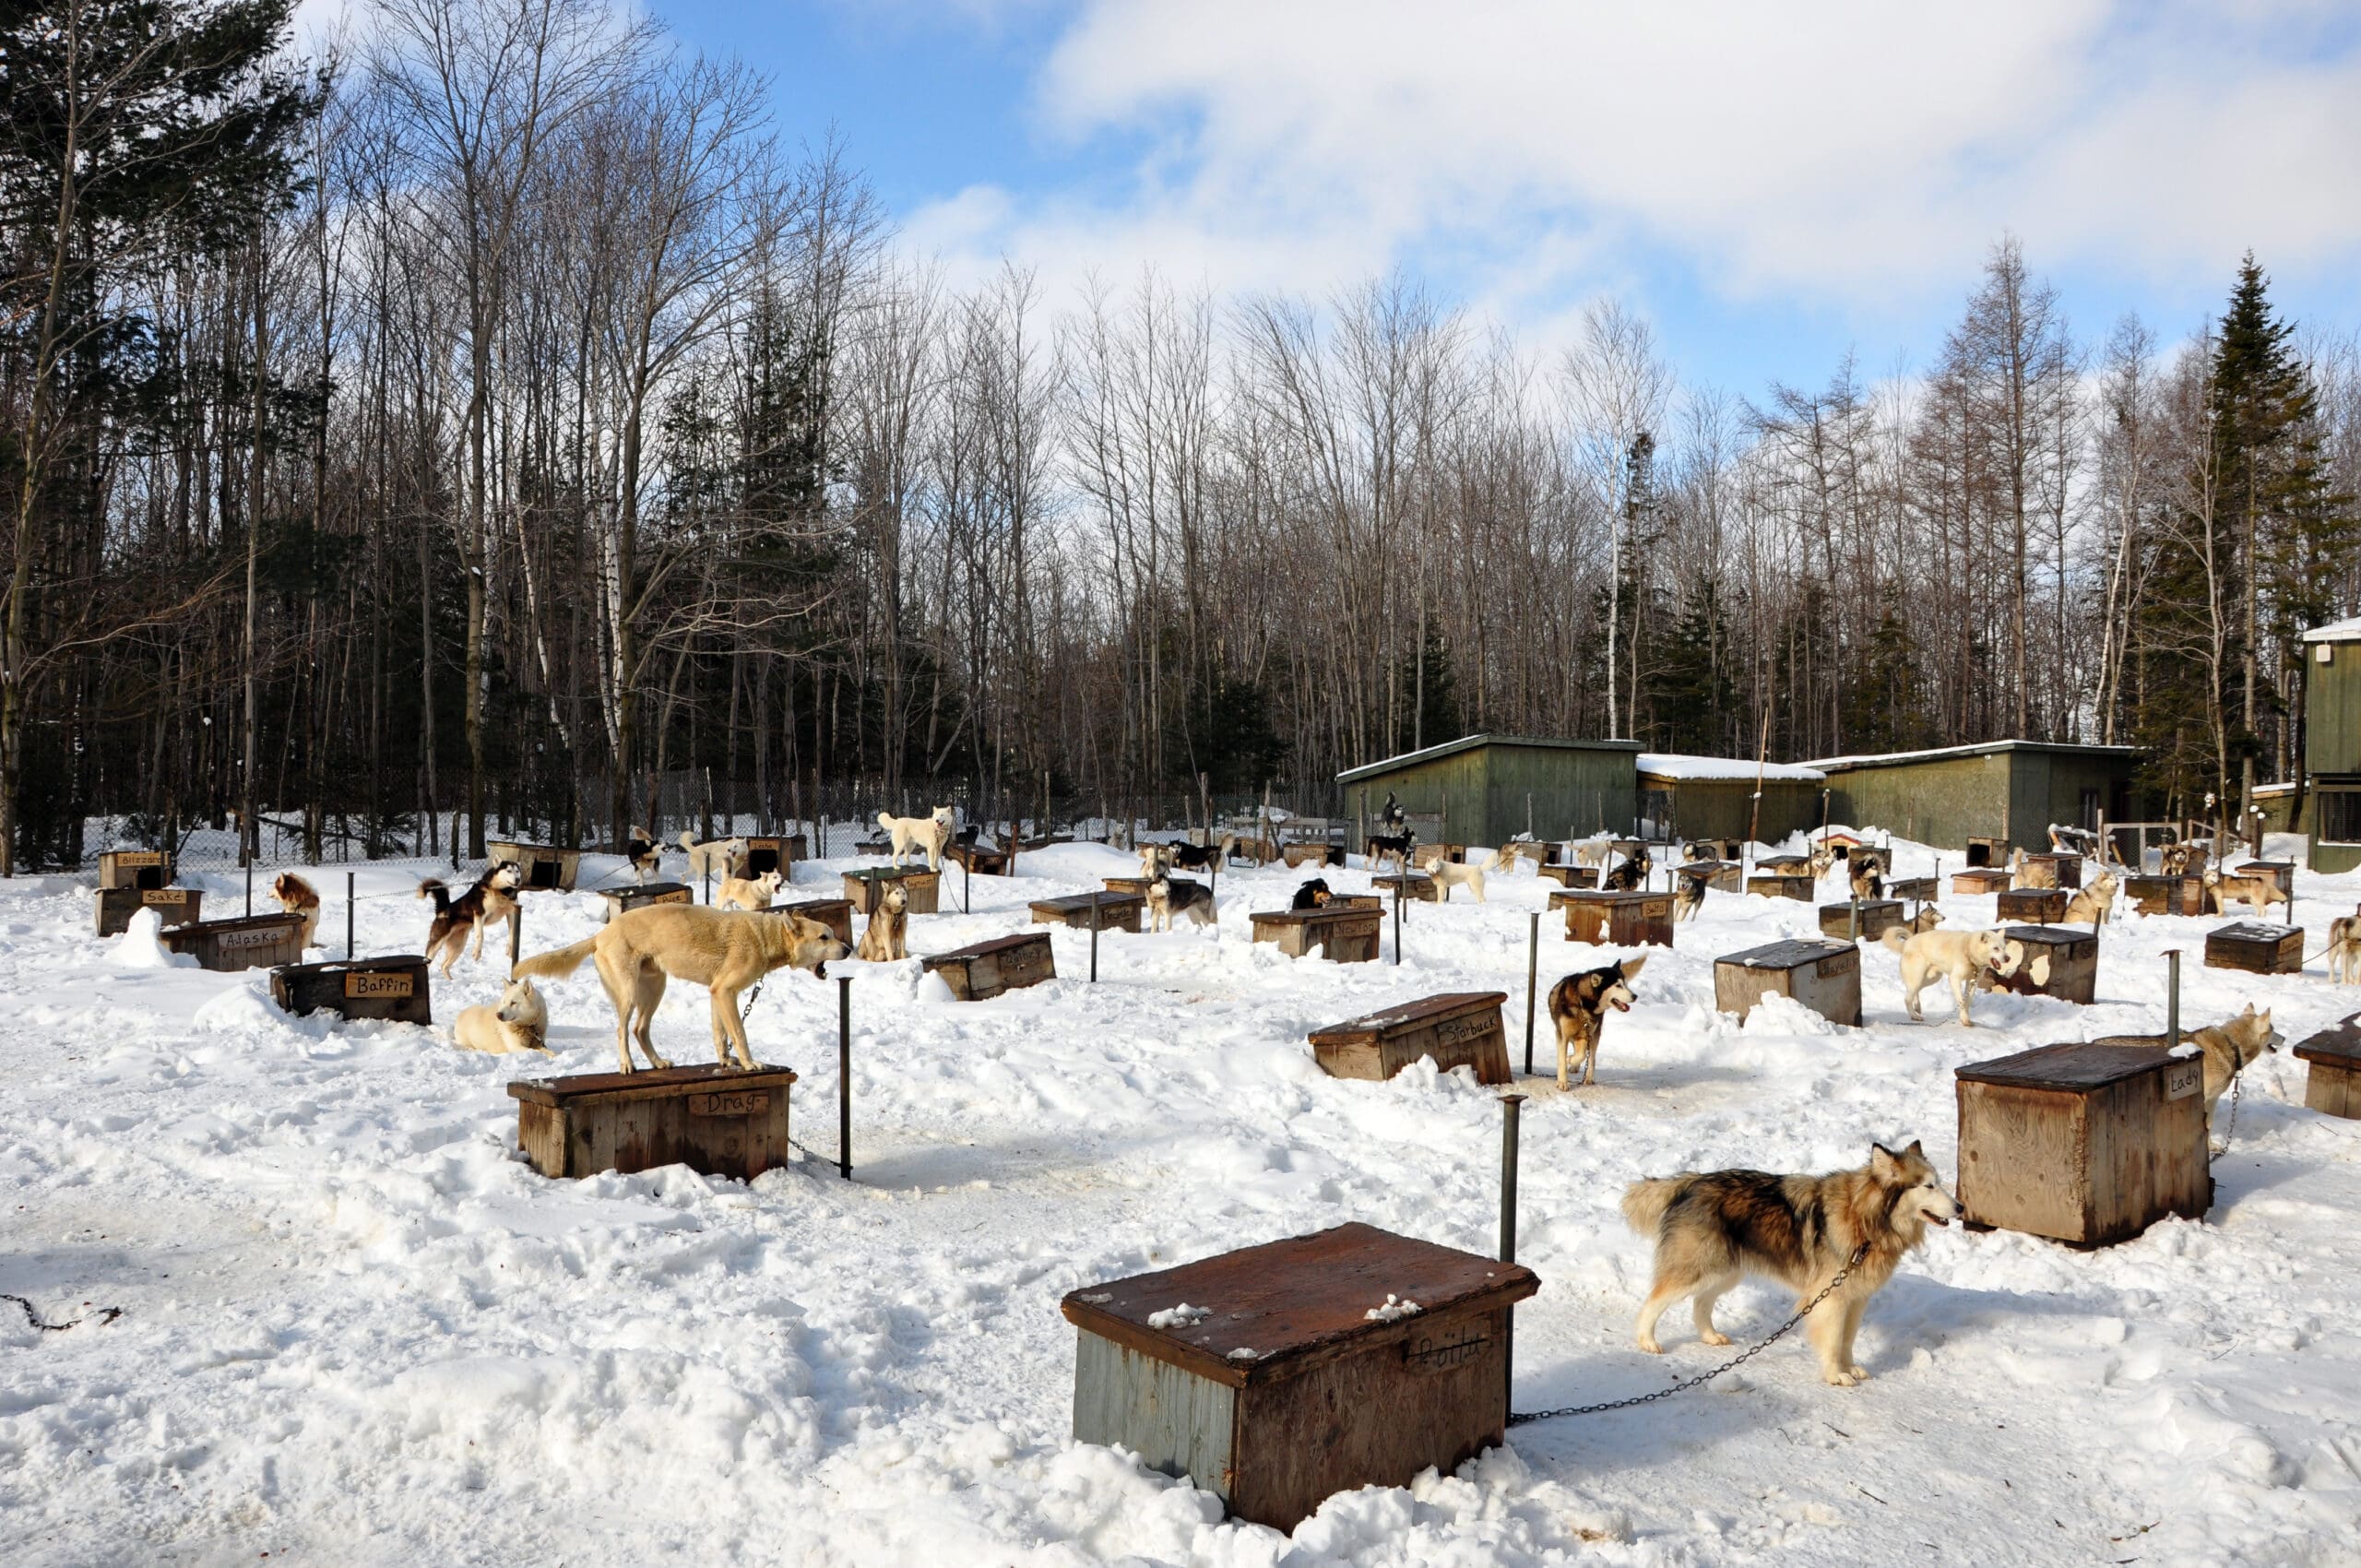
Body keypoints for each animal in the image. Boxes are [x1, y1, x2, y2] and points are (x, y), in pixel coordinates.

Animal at [515, 902, 849, 1072]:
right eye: (824, 937)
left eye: (833, 934)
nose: (847, 949)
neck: (765, 937)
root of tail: (600, 934)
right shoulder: (725, 992)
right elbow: (740, 1034)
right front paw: (749, 1063)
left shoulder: (718, 993)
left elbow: (721, 1034)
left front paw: (726, 1062)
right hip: (629, 994)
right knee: (622, 1030)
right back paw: (627, 1065)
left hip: (655, 989)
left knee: (639, 1030)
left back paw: (658, 1062)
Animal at [1548, 954, 1643, 1090]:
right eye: (1618, 985)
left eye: (1625, 984)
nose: (1635, 996)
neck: (1583, 1004)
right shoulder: (1563, 1034)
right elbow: (1562, 1059)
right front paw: (1562, 1082)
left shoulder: (1585, 1035)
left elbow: (1581, 1055)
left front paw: (1569, 1059)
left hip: (1594, 1034)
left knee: (1591, 1058)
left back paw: (1587, 1076)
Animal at [1624, 1138, 1954, 1388]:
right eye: (1929, 1186)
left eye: (1938, 1184)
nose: (1960, 1207)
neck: (1866, 1221)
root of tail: (1692, 1181)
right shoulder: (1831, 1298)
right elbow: (1833, 1341)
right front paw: (1836, 1375)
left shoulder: (1856, 1298)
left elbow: (1847, 1340)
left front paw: (1850, 1367)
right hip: (1697, 1267)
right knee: (1654, 1301)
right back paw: (1647, 1341)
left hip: (1724, 1270)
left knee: (1701, 1303)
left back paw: (1710, 1336)